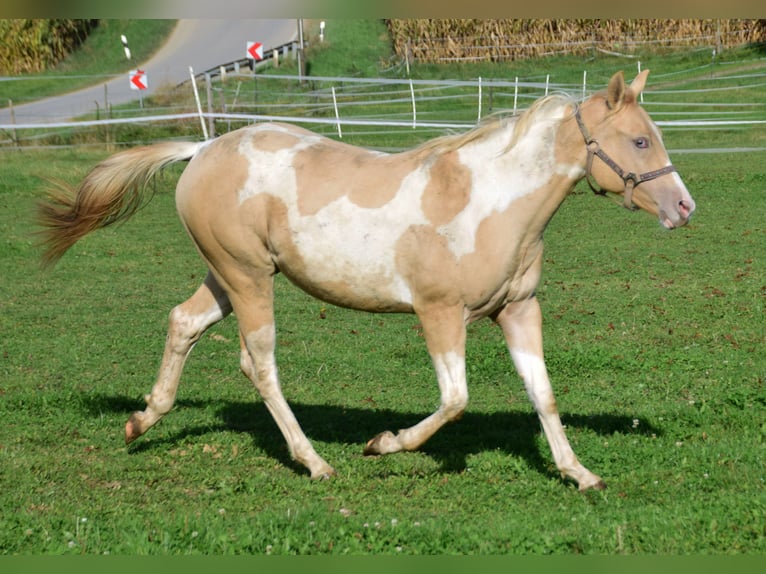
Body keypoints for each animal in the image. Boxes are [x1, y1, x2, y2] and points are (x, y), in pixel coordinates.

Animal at [37, 72, 696, 492]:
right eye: (640, 140)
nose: (684, 207)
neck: (488, 201)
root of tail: (201, 149)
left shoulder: (519, 310)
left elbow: (544, 394)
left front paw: (579, 473)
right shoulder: (439, 312)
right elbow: (455, 400)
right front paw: (383, 444)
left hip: (228, 275)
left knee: (183, 322)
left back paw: (141, 422)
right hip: (248, 279)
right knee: (259, 364)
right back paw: (315, 463)